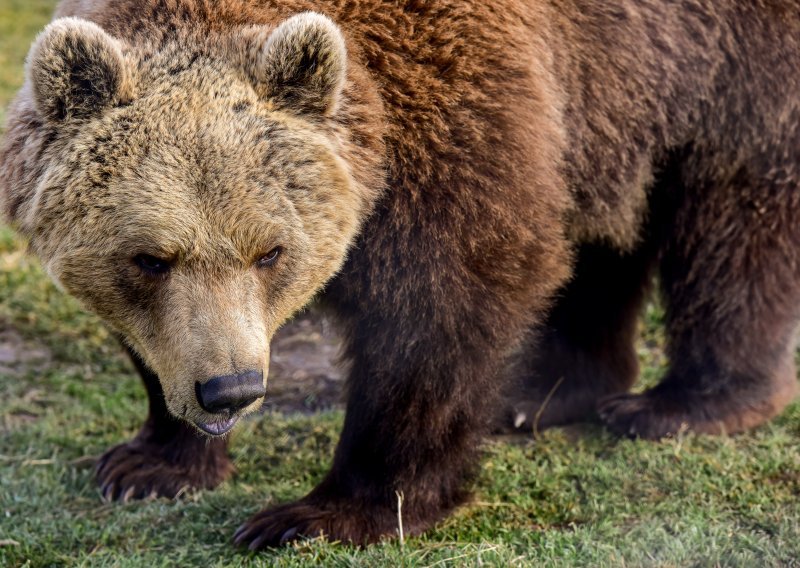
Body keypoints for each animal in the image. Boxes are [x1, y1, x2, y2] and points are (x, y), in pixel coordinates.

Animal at [1, 0, 800, 552]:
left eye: (270, 252)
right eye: (151, 257)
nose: (231, 388)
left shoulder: (457, 102)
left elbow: (444, 305)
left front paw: (321, 513)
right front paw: (149, 463)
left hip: (726, 54)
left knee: (733, 207)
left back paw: (686, 402)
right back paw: (547, 390)